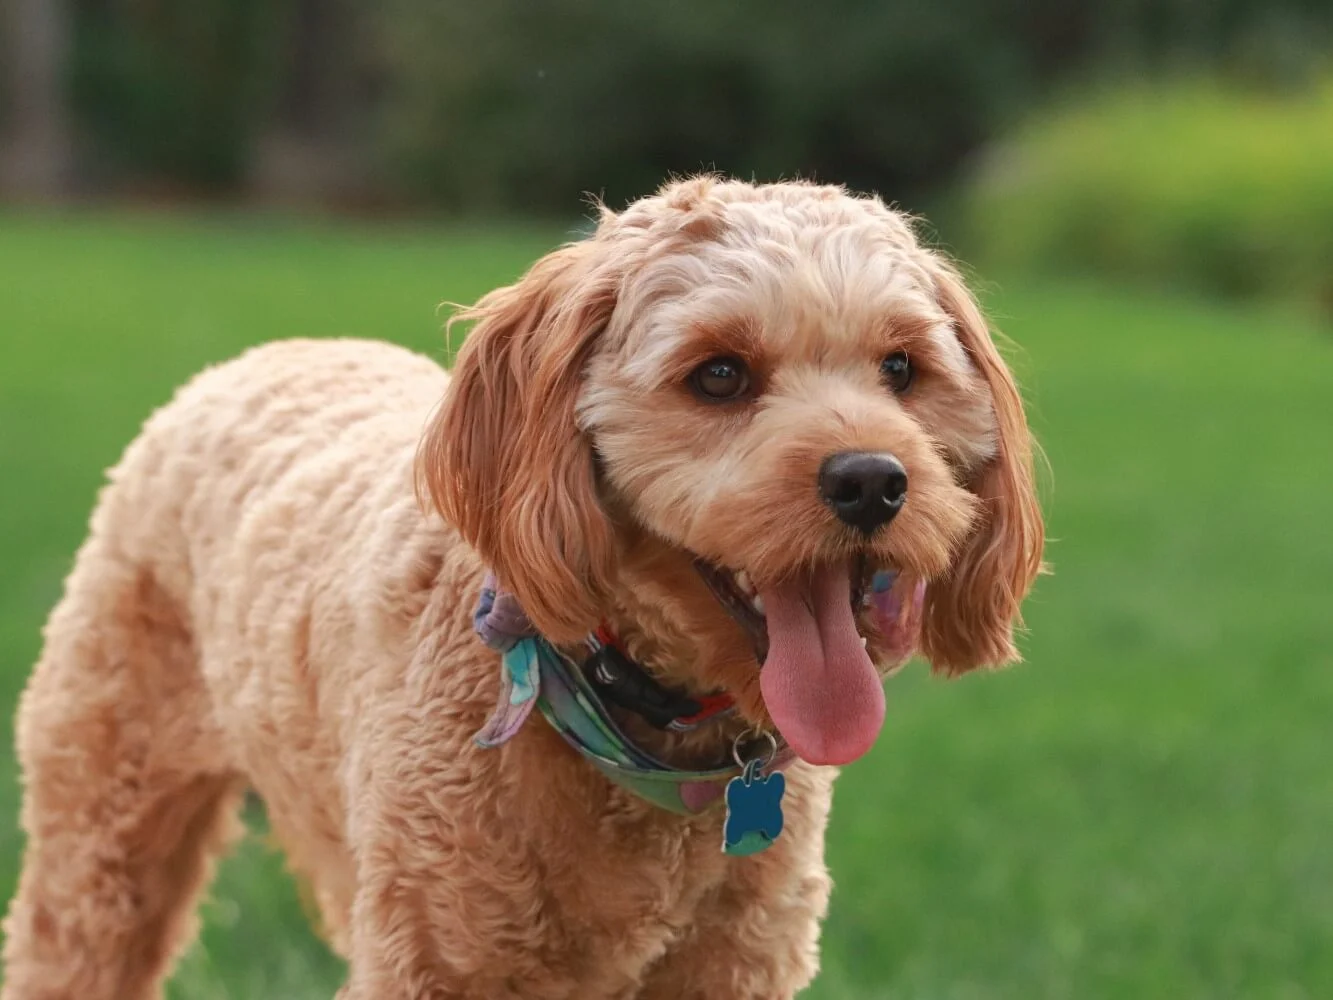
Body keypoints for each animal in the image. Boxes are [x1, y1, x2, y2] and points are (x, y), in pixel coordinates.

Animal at [0, 180, 1039, 1000]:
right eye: (718, 374)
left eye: (901, 367)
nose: (871, 482)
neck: (639, 724)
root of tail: (262, 354)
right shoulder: (437, 957)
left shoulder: (731, 965)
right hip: (103, 832)